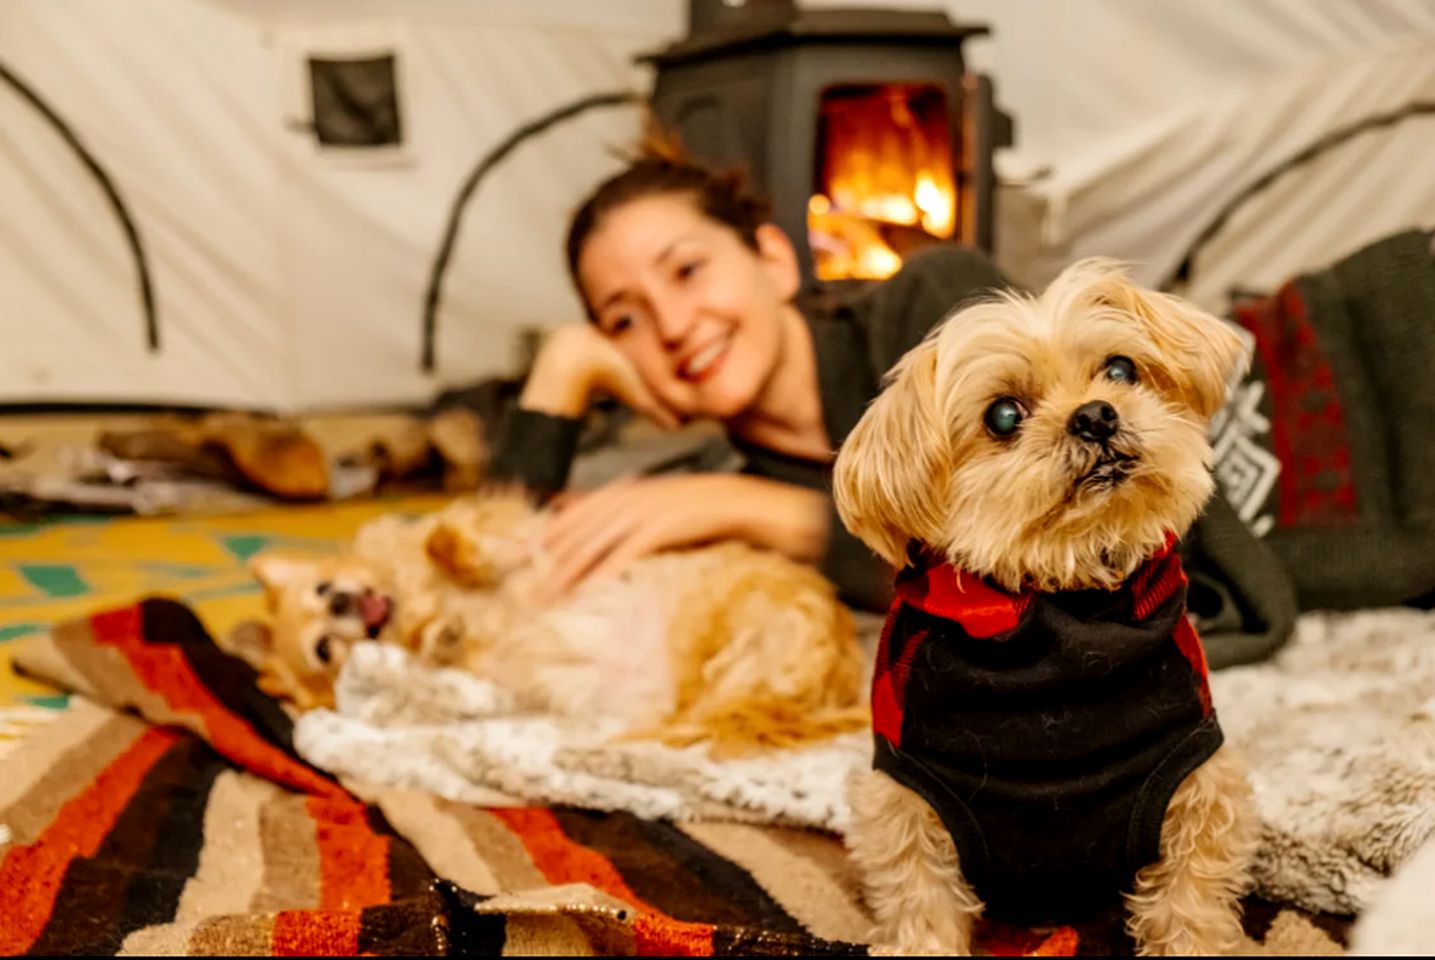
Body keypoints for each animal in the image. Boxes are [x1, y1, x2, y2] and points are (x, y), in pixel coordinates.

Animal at [246, 490, 860, 751]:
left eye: (323, 589)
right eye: (325, 651)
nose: (342, 605)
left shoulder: (513, 532)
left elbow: (449, 536)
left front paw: (453, 554)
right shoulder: (482, 658)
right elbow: (446, 643)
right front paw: (440, 634)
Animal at [832, 258, 1257, 952]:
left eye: (1120, 370)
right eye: (1004, 416)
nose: (1096, 416)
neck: (1066, 604)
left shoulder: (1199, 788)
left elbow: (1189, 903)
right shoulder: (904, 805)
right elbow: (921, 903)